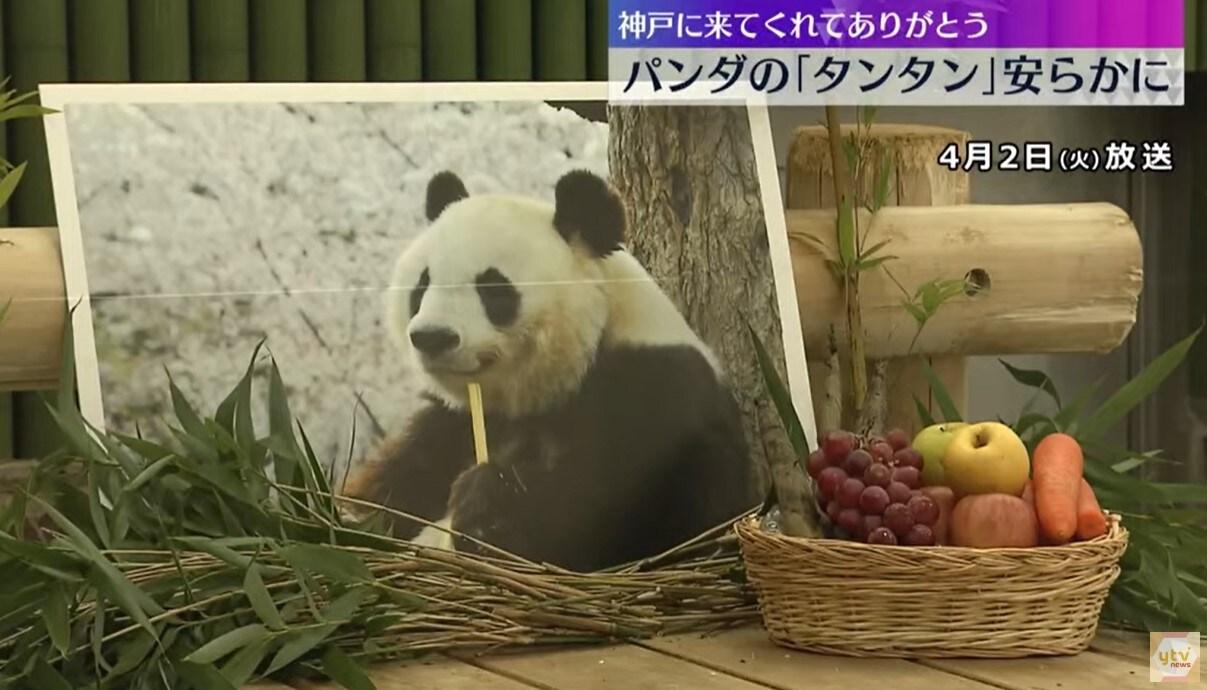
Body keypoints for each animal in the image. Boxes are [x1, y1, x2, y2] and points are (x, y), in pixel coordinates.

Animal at [342, 168, 753, 571]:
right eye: (423, 283)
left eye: (493, 287)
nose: (432, 337)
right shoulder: (448, 426)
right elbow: (393, 482)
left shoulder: (656, 389)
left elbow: (595, 505)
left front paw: (486, 507)